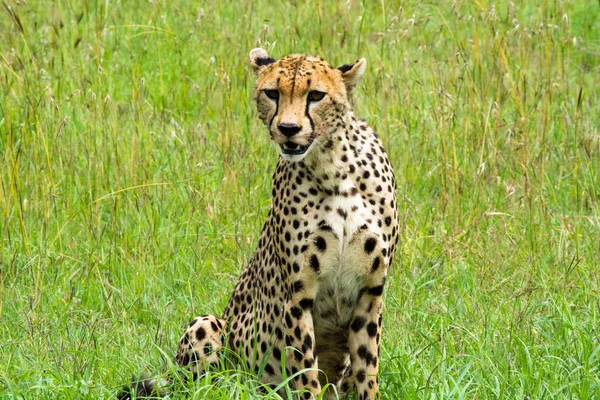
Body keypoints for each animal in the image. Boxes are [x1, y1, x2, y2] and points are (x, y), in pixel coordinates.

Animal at [119, 50, 398, 400]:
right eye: (272, 93)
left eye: (316, 95)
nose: (288, 128)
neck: (332, 165)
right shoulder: (296, 296)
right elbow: (306, 372)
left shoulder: (369, 292)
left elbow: (366, 370)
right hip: (209, 328)